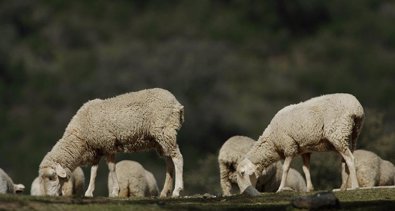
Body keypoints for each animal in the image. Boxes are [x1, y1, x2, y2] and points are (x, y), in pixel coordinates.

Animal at [37, 88, 186, 198]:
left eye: (52, 177)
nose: (48, 196)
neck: (79, 137)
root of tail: (176, 103)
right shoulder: (97, 148)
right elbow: (94, 171)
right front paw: (89, 192)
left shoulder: (107, 144)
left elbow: (111, 168)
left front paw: (114, 191)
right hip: (160, 140)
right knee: (169, 163)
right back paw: (164, 192)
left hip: (165, 131)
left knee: (177, 158)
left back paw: (176, 191)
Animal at [235, 93, 366, 195]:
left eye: (242, 173)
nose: (243, 192)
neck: (272, 142)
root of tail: (356, 108)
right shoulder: (305, 150)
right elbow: (306, 169)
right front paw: (309, 189)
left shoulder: (289, 147)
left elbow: (286, 168)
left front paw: (280, 188)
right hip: (352, 135)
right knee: (345, 161)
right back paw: (342, 188)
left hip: (338, 134)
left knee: (350, 159)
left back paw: (354, 187)